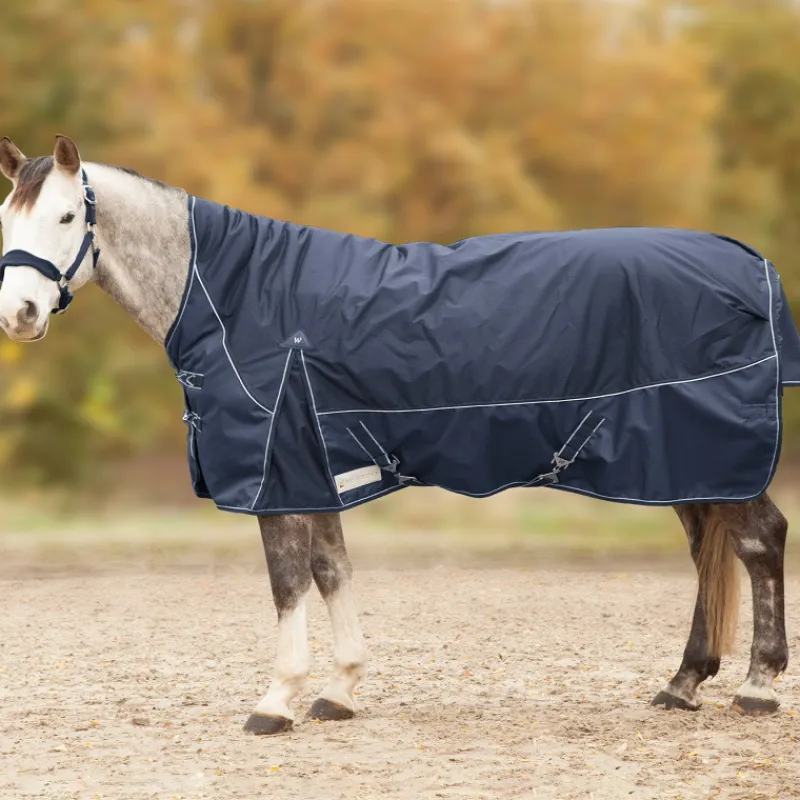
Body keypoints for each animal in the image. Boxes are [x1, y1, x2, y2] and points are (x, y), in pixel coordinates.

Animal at [0, 135, 791, 735]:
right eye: (8, 223)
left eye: (67, 216)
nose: (20, 315)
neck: (242, 298)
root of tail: (748, 262)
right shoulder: (319, 465)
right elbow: (332, 570)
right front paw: (340, 690)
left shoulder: (278, 469)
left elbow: (288, 581)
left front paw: (276, 702)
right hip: (685, 462)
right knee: (708, 554)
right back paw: (684, 683)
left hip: (704, 451)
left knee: (759, 541)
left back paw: (758, 687)